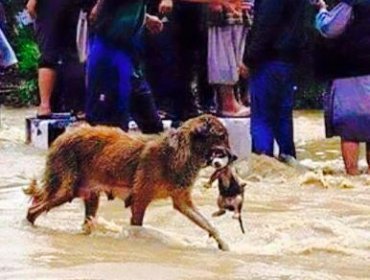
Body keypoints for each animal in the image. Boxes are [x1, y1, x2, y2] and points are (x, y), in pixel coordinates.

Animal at [24, 115, 230, 250]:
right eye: (222, 136)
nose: (233, 156)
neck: (182, 151)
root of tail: (62, 136)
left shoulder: (182, 202)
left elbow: (209, 225)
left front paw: (224, 245)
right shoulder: (140, 200)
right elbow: (137, 226)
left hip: (90, 196)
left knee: (85, 222)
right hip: (65, 190)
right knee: (32, 211)